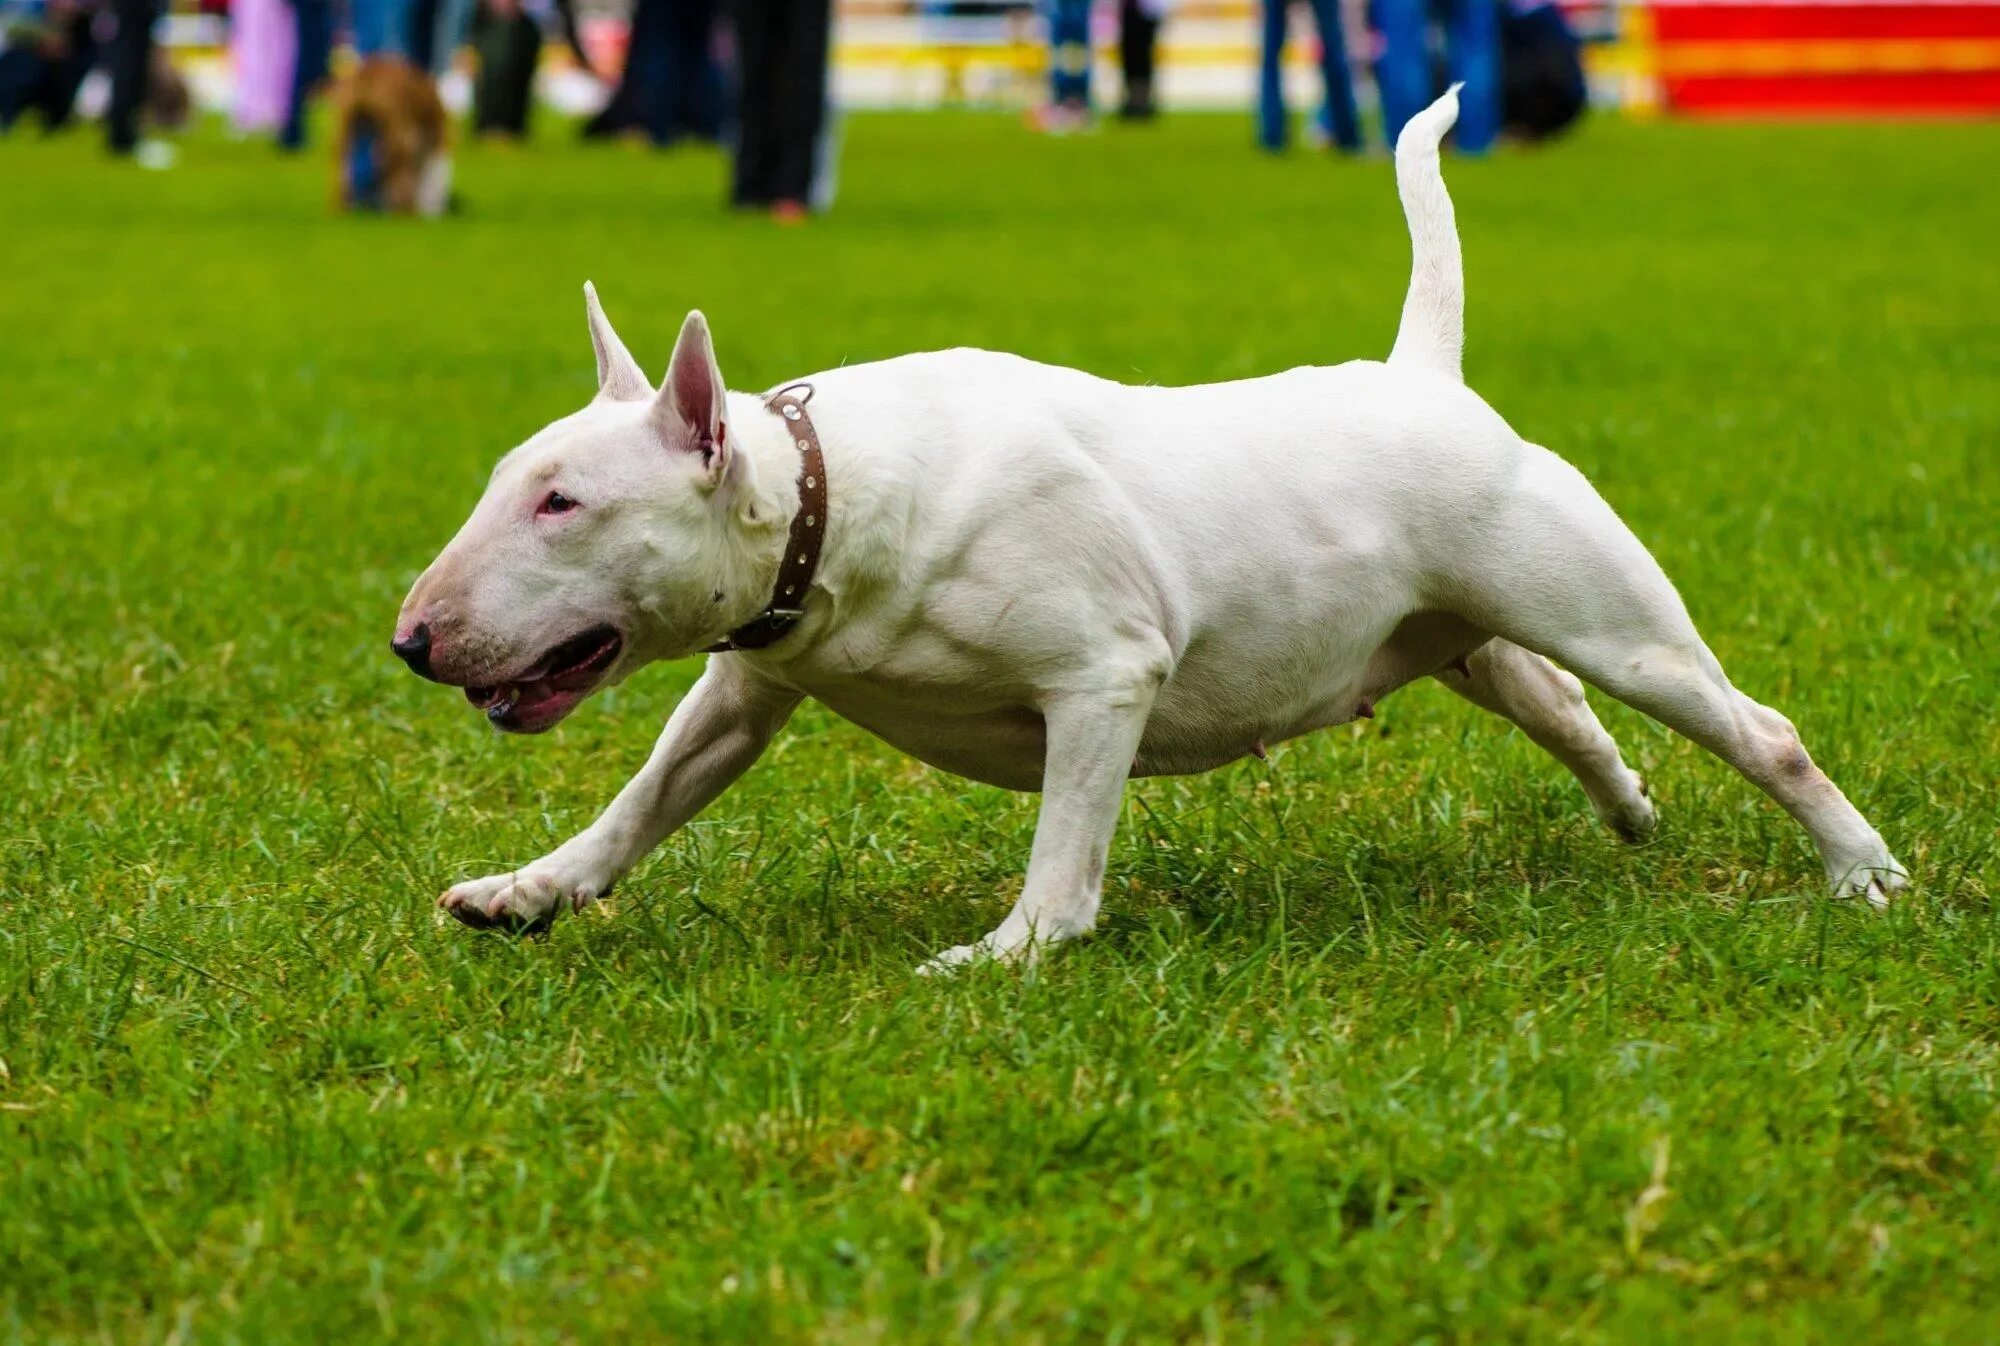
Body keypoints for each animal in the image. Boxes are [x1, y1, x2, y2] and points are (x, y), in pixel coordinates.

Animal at [390, 86, 1904, 968]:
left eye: (562, 502)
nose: (410, 640)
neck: (832, 495)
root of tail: (1421, 374)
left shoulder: (1103, 675)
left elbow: (1067, 859)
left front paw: (1006, 956)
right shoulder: (749, 681)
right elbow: (648, 796)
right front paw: (529, 891)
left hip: (1607, 613)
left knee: (1752, 727)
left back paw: (1863, 874)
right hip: (1463, 628)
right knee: (1556, 700)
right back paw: (1628, 805)